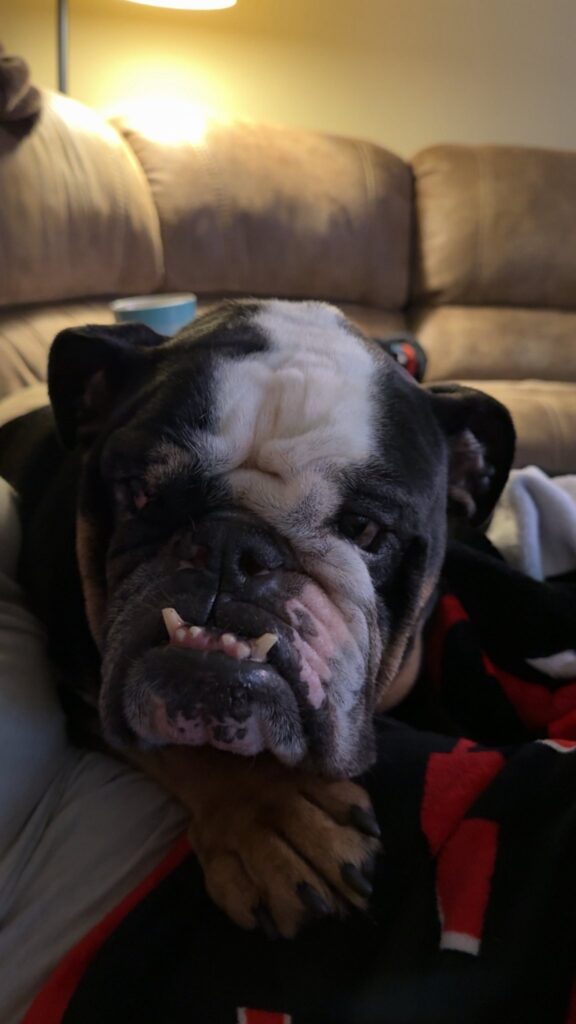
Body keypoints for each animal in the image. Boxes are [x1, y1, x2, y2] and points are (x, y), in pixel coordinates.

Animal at [0, 299, 515, 938]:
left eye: (365, 529)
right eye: (140, 492)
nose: (231, 545)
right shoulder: (79, 681)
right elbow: (184, 748)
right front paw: (272, 816)